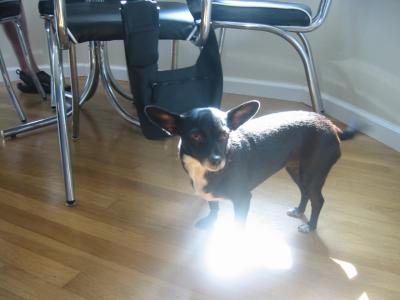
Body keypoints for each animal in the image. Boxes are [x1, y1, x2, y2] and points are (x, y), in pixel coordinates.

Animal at [145, 100, 352, 232]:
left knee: (318, 200)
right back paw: (299, 211)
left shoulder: (243, 199)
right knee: (305, 192)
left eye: (225, 135)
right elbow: (213, 207)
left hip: (312, 174)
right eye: (195, 136)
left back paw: (310, 226)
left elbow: (238, 222)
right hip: (297, 170)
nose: (217, 160)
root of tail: (331, 126)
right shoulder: (211, 195)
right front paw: (210, 222)